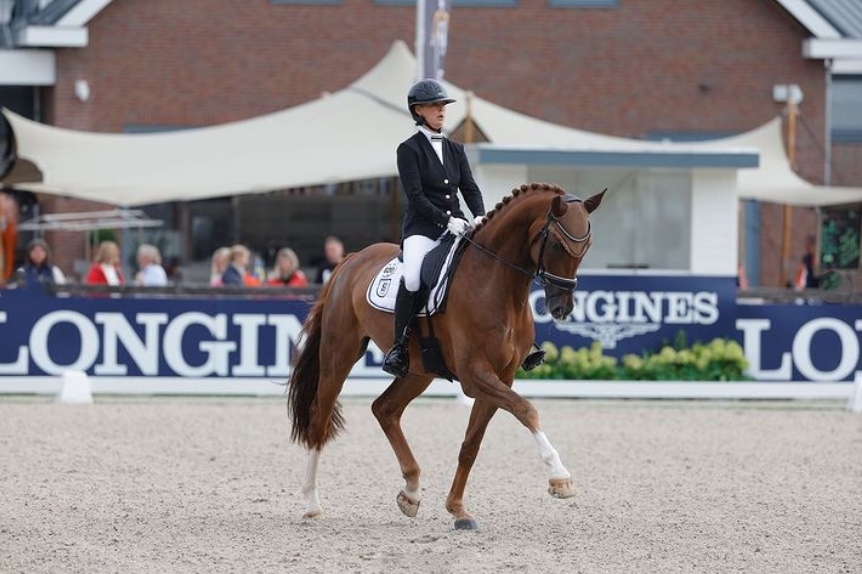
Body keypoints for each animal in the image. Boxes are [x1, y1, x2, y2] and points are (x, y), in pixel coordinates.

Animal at [287, 182, 604, 530]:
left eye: (588, 245)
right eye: (559, 244)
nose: (562, 307)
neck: (495, 282)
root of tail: (352, 259)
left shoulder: (501, 377)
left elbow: (471, 445)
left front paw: (458, 510)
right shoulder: (475, 376)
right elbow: (527, 410)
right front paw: (560, 477)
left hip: (418, 371)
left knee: (384, 409)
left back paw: (411, 492)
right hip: (339, 353)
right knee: (319, 419)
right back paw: (312, 503)